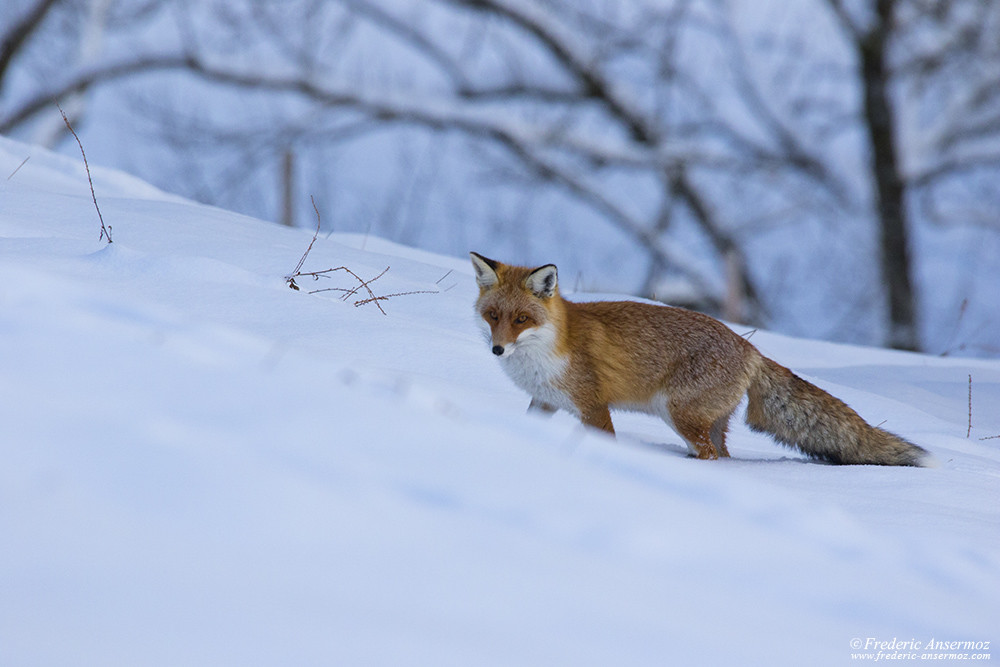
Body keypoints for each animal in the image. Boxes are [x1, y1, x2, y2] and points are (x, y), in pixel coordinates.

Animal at [472, 253, 932, 468]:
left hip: (680, 413)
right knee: (724, 456)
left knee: (712, 456)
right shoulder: (545, 402)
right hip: (705, 421)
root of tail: (751, 349)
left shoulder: (593, 405)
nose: (497, 350)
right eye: (493, 316)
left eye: (521, 319)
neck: (550, 347)